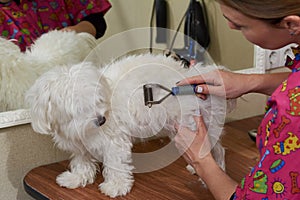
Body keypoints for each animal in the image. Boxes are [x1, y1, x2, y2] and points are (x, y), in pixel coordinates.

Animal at [25, 52, 232, 198]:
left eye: (98, 100)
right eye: (79, 108)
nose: (102, 119)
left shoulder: (114, 142)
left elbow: (116, 163)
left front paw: (115, 186)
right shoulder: (80, 145)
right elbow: (82, 162)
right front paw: (76, 178)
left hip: (197, 125)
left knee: (217, 151)